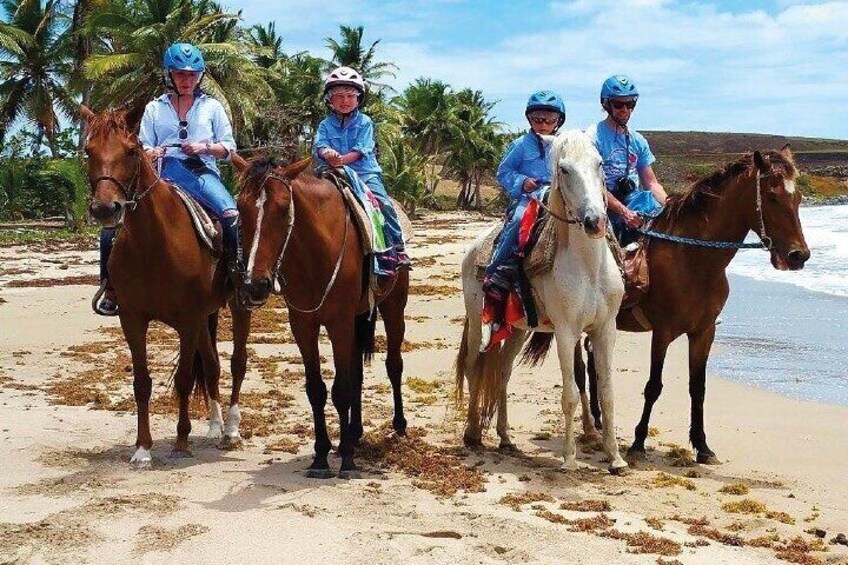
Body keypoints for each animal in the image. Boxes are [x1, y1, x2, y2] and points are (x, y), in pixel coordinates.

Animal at [82, 107, 252, 468]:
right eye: (88, 151)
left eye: (131, 151)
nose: (106, 209)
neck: (153, 243)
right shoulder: (132, 318)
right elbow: (141, 382)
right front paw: (143, 448)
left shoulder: (187, 320)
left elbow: (185, 379)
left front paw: (181, 442)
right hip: (203, 319)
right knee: (213, 365)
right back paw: (214, 427)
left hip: (235, 306)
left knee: (237, 363)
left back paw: (231, 431)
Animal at [237, 156, 412, 478]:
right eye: (241, 207)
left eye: (283, 209)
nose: (256, 284)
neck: (314, 255)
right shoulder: (303, 325)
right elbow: (317, 389)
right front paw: (321, 456)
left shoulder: (339, 323)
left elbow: (341, 388)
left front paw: (347, 461)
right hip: (358, 319)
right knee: (357, 372)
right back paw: (354, 432)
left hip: (393, 308)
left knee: (394, 365)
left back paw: (398, 426)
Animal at [454, 130, 628, 474]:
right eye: (564, 169)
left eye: (599, 163)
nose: (595, 222)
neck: (588, 267)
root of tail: (475, 247)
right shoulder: (566, 332)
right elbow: (570, 394)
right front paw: (569, 459)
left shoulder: (605, 329)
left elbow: (607, 393)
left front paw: (615, 458)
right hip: (477, 319)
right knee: (473, 367)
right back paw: (473, 433)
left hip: (517, 330)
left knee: (502, 372)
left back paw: (505, 438)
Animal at [576, 144, 808, 462]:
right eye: (772, 197)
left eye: (797, 198)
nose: (799, 256)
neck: (693, 259)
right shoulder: (662, 333)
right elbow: (654, 387)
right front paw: (638, 442)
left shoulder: (704, 332)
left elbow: (698, 388)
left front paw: (702, 445)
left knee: (594, 363)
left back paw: (600, 421)